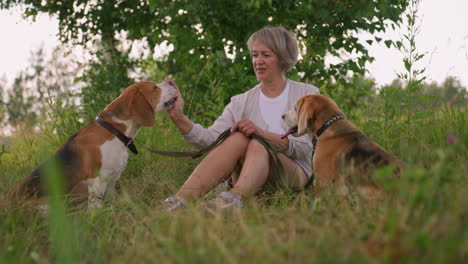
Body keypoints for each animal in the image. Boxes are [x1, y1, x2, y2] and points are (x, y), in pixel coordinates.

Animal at [8, 80, 176, 210]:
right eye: (154, 88)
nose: (170, 81)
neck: (114, 129)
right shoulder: (98, 182)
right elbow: (95, 211)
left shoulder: (112, 180)